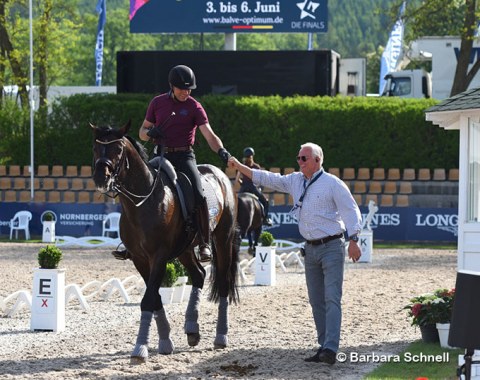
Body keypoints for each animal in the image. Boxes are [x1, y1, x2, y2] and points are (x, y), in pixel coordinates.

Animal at [90, 121, 240, 362]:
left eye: (118, 150)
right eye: (95, 148)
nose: (101, 178)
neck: (143, 201)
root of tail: (221, 175)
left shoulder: (159, 256)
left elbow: (149, 299)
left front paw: (140, 348)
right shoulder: (140, 259)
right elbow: (154, 298)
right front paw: (165, 341)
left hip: (222, 240)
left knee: (223, 284)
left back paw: (221, 336)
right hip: (184, 249)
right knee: (199, 275)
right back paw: (192, 329)